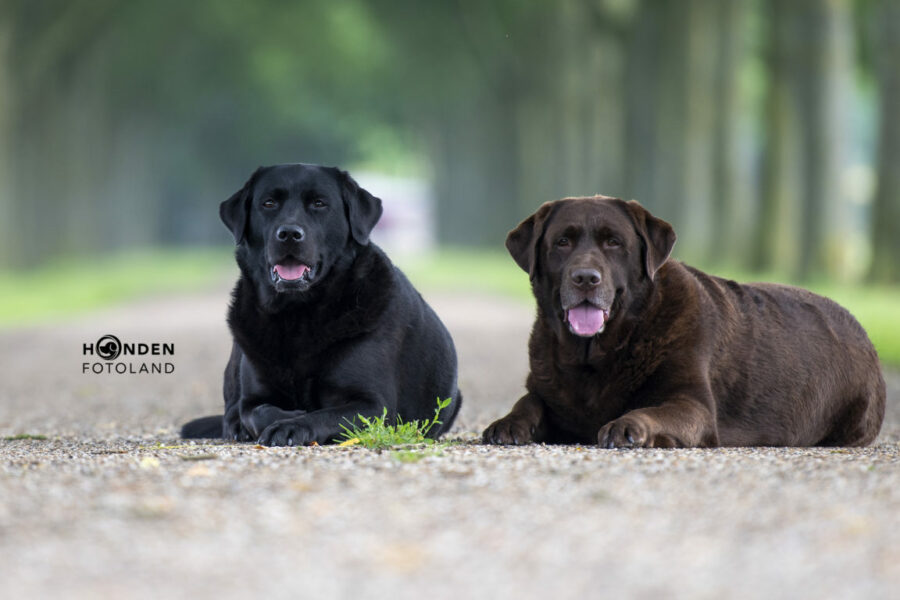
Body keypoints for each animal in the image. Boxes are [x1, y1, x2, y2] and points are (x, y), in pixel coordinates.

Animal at [183, 164, 464, 446]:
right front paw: (284, 417)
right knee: (231, 411)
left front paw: (291, 426)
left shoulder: (373, 405)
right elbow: (258, 412)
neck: (297, 314)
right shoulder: (254, 399)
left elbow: (323, 415)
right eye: (269, 203)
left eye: (319, 203)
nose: (289, 234)